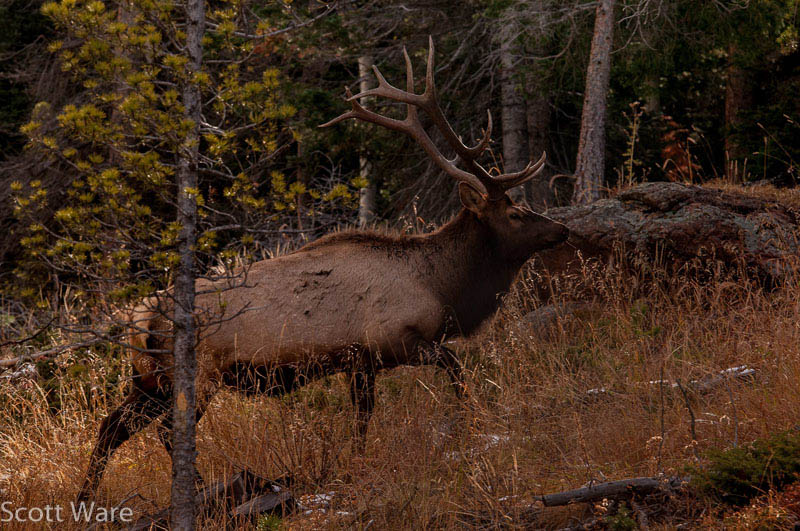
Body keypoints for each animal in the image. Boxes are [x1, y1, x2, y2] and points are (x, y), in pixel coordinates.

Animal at [76, 38, 569, 502]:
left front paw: (356, 461)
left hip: (147, 379)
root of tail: (140, 316)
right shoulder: (393, 340)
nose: (562, 229)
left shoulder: (359, 362)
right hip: (195, 373)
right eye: (516, 213)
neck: (442, 289)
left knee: (111, 427)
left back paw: (87, 497)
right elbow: (454, 369)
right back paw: (200, 492)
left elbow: (362, 418)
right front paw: (470, 422)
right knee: (166, 431)